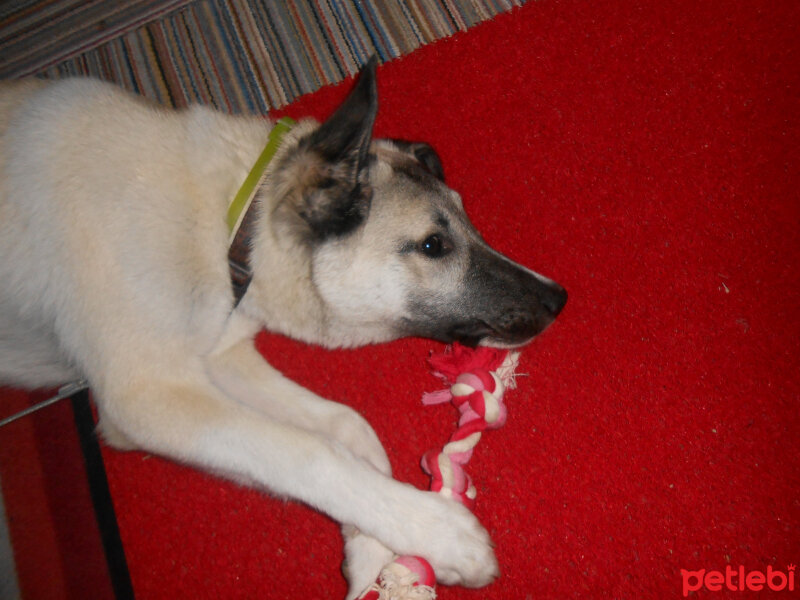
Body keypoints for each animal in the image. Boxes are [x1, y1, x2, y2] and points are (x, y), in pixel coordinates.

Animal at [0, 57, 564, 600]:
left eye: (468, 223)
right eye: (433, 246)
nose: (558, 299)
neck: (228, 223)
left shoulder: (220, 357)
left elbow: (346, 427)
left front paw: (370, 544)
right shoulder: (149, 399)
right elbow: (308, 452)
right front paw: (436, 531)